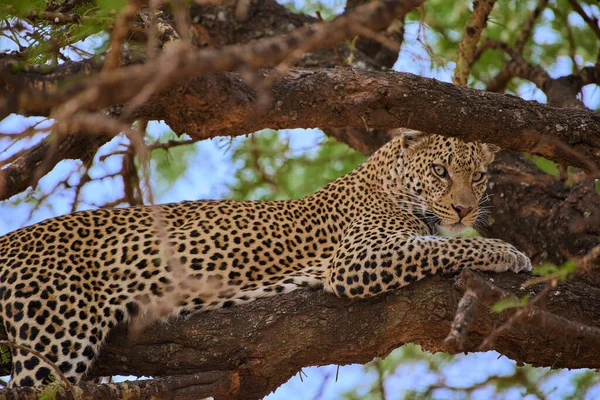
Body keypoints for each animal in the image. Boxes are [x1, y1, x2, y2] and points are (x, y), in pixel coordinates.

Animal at [0, 130, 528, 388]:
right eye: (440, 171)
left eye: (479, 175)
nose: (464, 208)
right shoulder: (357, 257)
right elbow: (447, 245)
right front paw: (508, 252)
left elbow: (444, 241)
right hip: (53, 339)